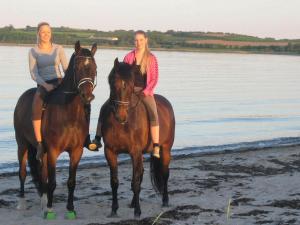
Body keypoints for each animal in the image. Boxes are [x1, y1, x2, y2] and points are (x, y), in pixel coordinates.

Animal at [13, 40, 97, 218]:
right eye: (77, 67)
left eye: (94, 68)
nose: (87, 96)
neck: (69, 115)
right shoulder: (53, 151)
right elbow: (52, 182)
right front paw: (51, 210)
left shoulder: (76, 151)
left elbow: (71, 182)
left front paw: (70, 209)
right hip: (22, 144)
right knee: (22, 173)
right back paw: (22, 202)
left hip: (42, 151)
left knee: (42, 173)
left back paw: (44, 202)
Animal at [100, 58, 176, 218]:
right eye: (113, 83)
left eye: (130, 86)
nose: (121, 115)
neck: (123, 124)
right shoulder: (110, 152)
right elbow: (115, 181)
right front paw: (114, 209)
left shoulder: (135, 152)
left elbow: (135, 181)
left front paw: (138, 212)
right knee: (141, 174)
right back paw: (134, 202)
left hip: (165, 149)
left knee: (165, 173)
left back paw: (165, 200)